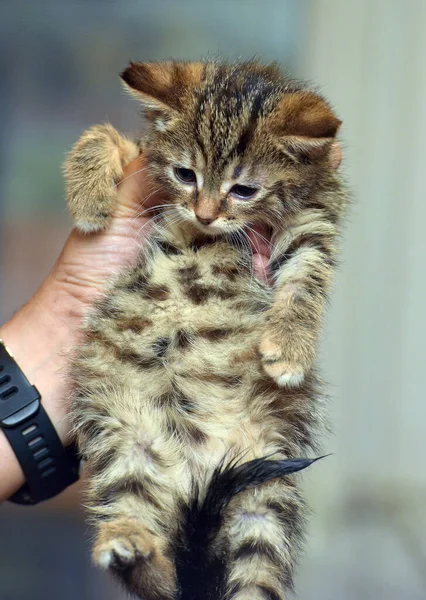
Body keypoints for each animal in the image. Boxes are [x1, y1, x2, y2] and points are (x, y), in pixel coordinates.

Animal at [65, 59, 348, 600]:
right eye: (185, 175)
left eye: (244, 189)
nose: (205, 214)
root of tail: (195, 473)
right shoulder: (148, 167)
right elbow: (109, 135)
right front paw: (89, 196)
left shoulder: (315, 217)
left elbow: (307, 275)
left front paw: (290, 348)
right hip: (126, 448)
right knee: (159, 569)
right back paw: (132, 548)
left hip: (264, 493)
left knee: (257, 569)